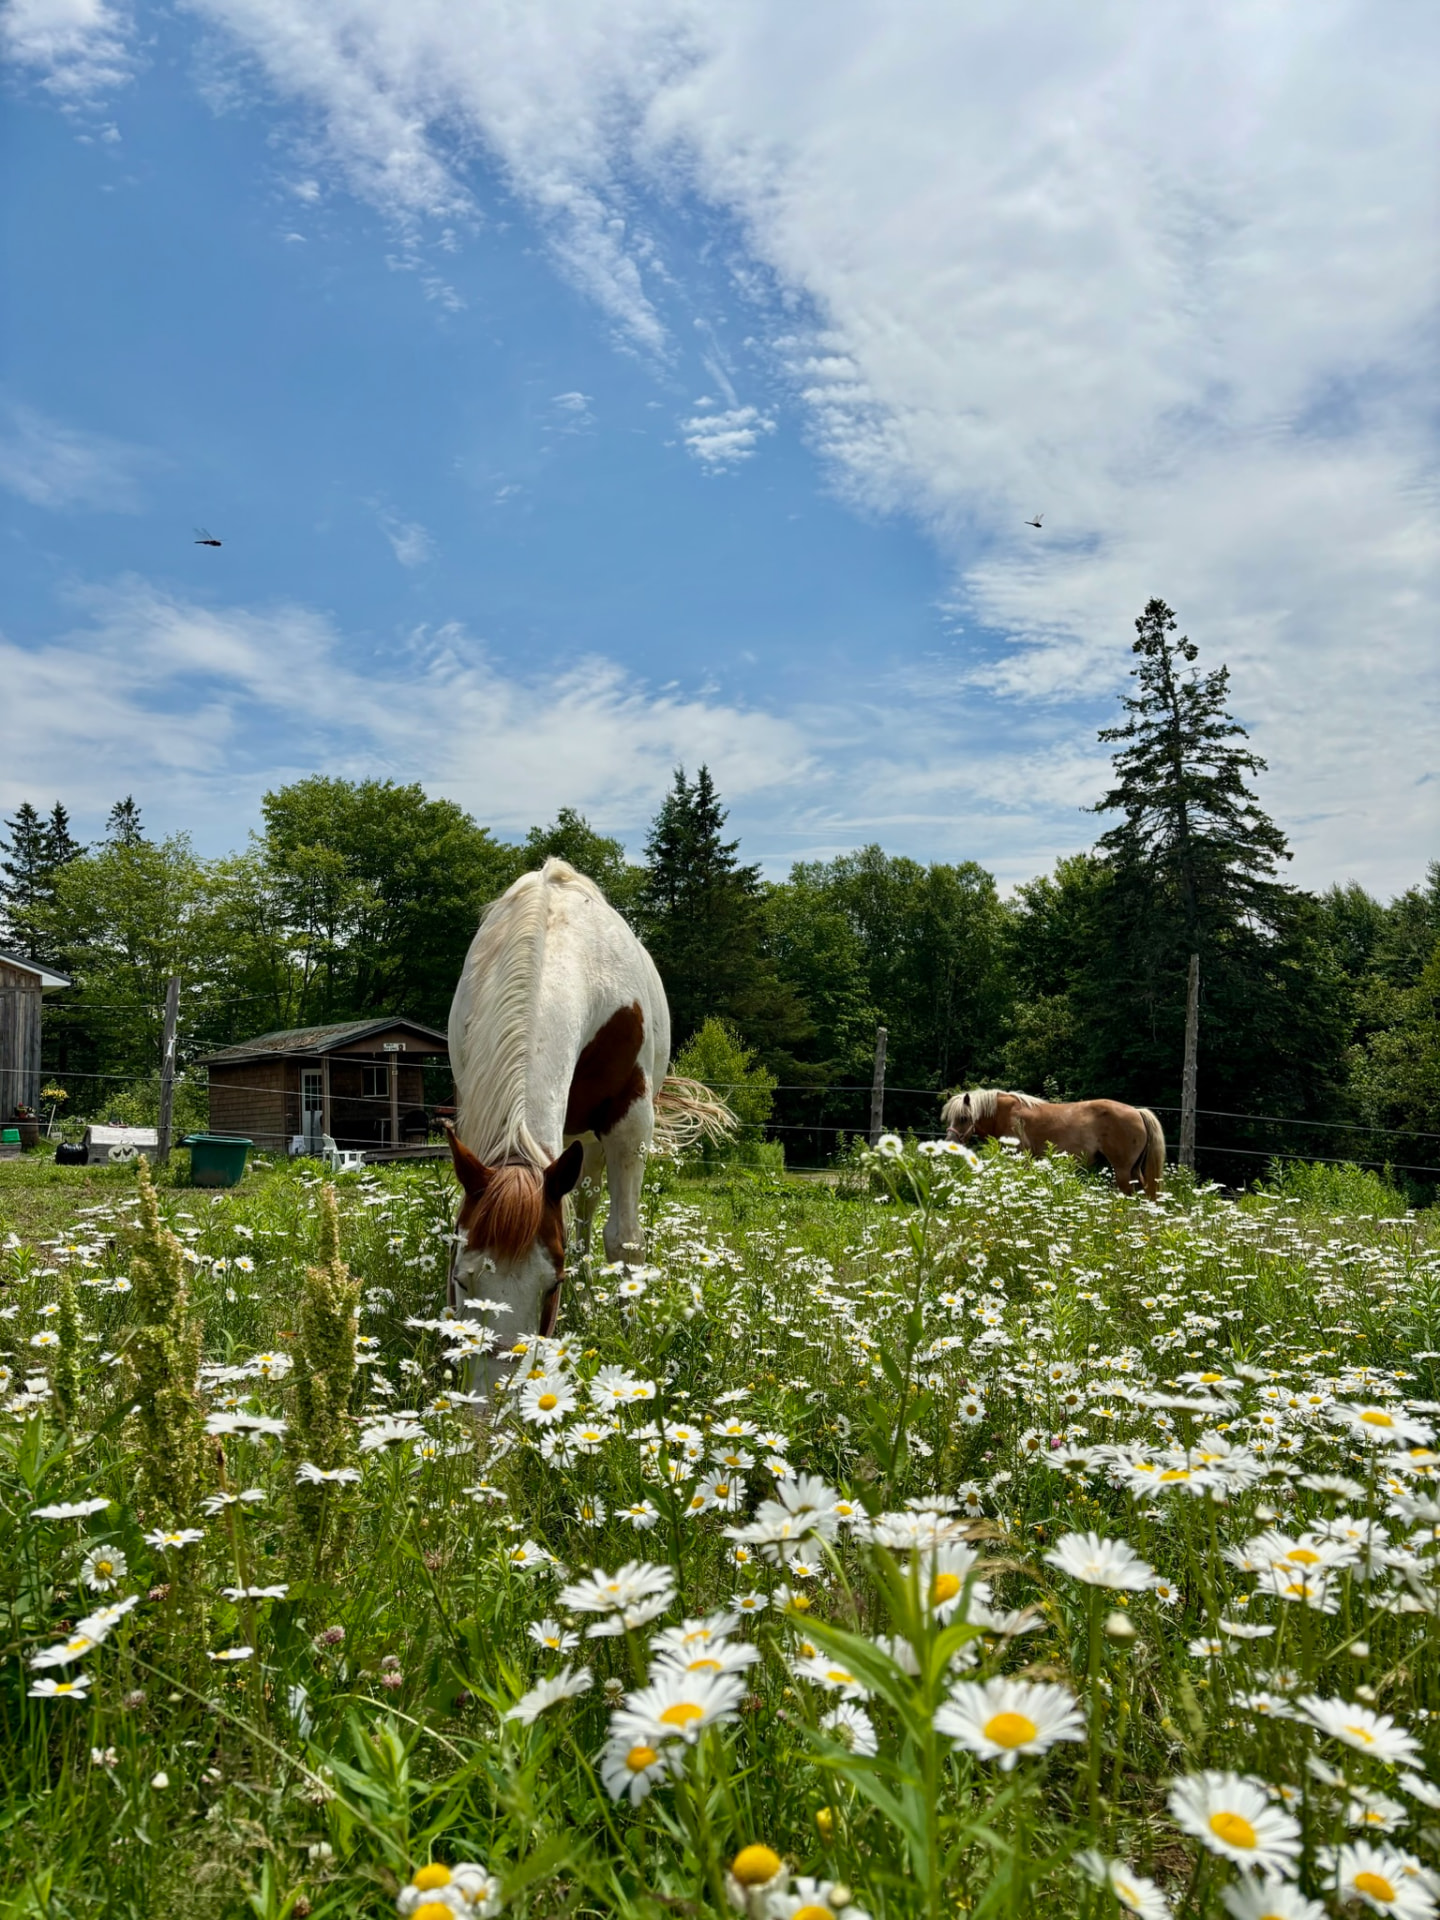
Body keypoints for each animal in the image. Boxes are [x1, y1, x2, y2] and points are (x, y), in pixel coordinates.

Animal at [443, 858, 729, 1387]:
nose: (491, 1402)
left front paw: (633, 1341)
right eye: (461, 1279)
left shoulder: (629, 1121)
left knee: (590, 1211)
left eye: (550, 1285)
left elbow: (625, 1241)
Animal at [941, 1088, 1166, 1199]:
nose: (950, 1143)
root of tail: (1137, 1111)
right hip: (1134, 1170)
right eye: (948, 1118)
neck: (1006, 1113)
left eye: (963, 1118)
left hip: (1122, 1171)